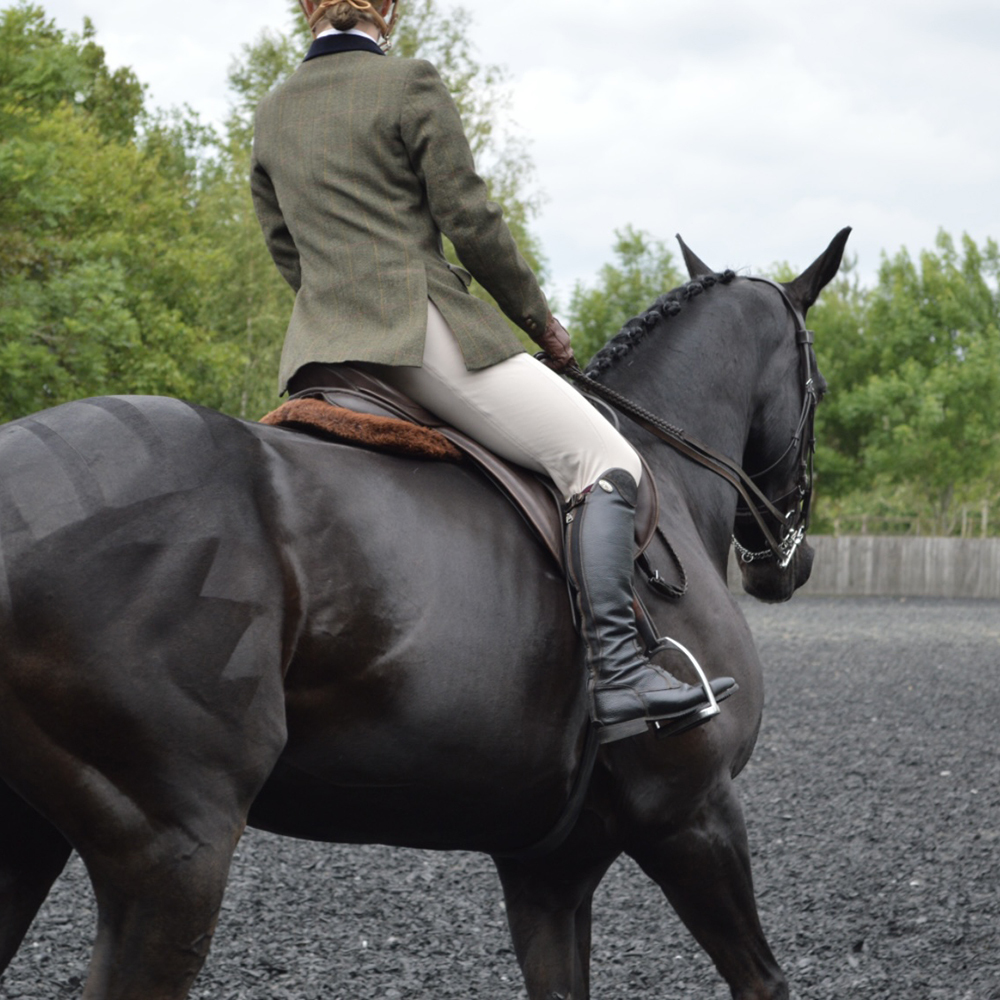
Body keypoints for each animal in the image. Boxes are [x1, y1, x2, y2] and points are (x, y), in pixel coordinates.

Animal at [0, 229, 849, 999]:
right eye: (822, 385)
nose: (789, 564)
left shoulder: (550, 867)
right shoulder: (694, 812)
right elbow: (764, 982)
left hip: (35, 833)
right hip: (174, 848)